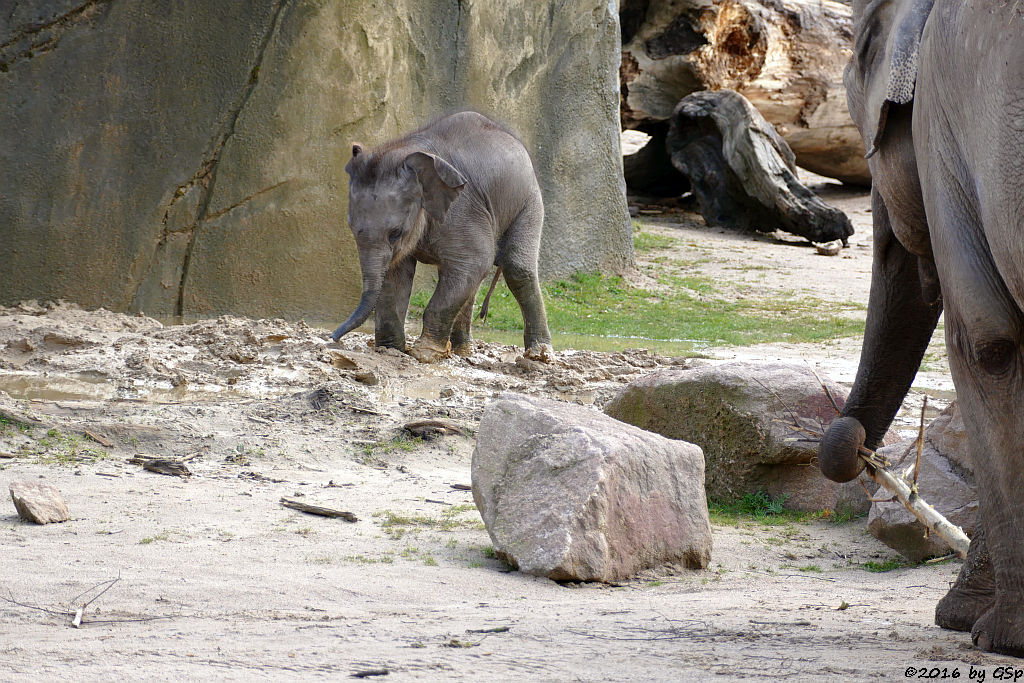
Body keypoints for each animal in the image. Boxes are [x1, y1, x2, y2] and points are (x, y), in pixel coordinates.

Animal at [329, 112, 552, 362]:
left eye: (395, 233)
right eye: (351, 227)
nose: (332, 338)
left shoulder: (462, 209)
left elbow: (476, 261)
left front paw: (424, 353)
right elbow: (396, 274)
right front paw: (390, 350)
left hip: (529, 203)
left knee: (516, 268)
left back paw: (539, 355)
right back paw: (463, 352)